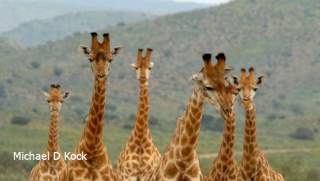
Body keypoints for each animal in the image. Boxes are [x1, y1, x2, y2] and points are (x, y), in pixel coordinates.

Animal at [117, 47, 161, 180]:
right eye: (136, 68)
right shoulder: (128, 176)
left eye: (149, 68)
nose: (142, 78)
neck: (141, 139)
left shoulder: (146, 176)